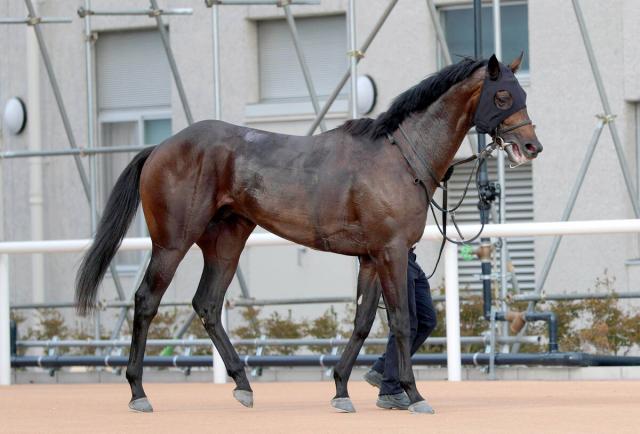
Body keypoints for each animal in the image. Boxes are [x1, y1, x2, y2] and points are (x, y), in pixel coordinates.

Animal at [75, 54, 542, 414]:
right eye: (503, 96)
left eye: (523, 95)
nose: (531, 147)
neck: (398, 157)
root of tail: (161, 147)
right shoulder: (391, 252)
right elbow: (402, 322)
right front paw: (413, 394)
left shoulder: (371, 257)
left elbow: (363, 322)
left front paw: (341, 389)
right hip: (173, 242)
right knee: (146, 302)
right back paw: (138, 391)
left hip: (227, 241)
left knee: (207, 304)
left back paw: (243, 384)